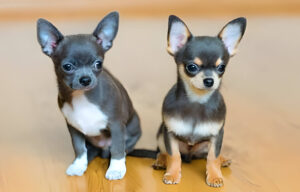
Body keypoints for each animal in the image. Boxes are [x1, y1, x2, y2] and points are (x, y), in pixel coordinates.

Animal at [36, 11, 142, 180]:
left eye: (98, 64)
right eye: (67, 67)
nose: (85, 79)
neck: (83, 97)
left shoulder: (117, 125)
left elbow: (118, 148)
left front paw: (116, 169)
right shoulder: (74, 128)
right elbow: (79, 149)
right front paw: (78, 165)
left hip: (134, 127)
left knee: (121, 149)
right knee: (90, 150)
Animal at [154, 15, 247, 187]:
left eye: (221, 67)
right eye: (192, 67)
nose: (209, 80)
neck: (197, 101)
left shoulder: (217, 135)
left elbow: (212, 157)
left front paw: (215, 176)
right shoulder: (169, 134)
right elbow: (174, 155)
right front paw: (172, 174)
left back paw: (223, 159)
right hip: (160, 135)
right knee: (162, 151)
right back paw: (161, 160)